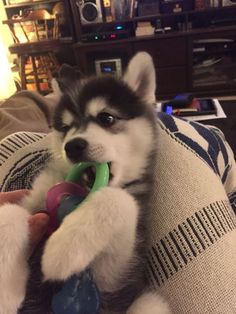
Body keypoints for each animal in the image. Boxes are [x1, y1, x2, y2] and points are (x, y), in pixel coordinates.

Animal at [0, 52, 170, 312]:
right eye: (65, 128)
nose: (73, 146)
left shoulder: (115, 277)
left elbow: (119, 199)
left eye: (106, 118)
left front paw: (65, 248)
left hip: (151, 302)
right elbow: (11, 211)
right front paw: (6, 286)